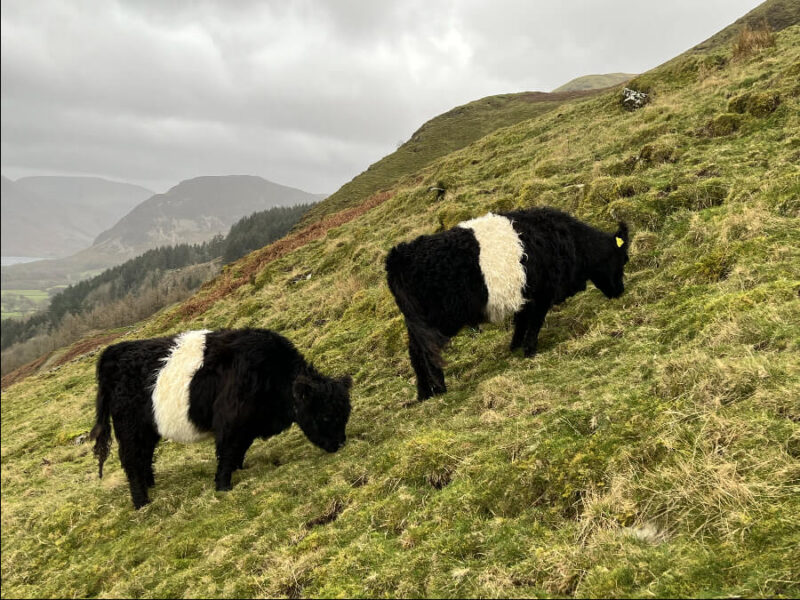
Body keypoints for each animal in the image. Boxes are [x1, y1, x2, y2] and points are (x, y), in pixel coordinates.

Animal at [89, 328, 352, 509]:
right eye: (325, 416)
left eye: (345, 414)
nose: (339, 444)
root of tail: (114, 352)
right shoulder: (230, 422)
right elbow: (227, 453)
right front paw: (223, 487)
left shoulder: (247, 426)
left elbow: (239, 451)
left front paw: (239, 469)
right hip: (129, 428)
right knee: (132, 461)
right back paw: (142, 502)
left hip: (147, 428)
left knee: (143, 457)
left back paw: (151, 484)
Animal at [385, 206, 629, 400]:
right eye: (623, 259)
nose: (620, 292)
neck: (565, 240)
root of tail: (399, 256)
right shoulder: (542, 294)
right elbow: (535, 323)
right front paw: (530, 350)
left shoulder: (524, 297)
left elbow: (520, 323)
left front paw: (515, 347)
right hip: (438, 322)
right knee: (428, 354)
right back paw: (439, 389)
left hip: (416, 324)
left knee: (415, 353)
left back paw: (423, 393)